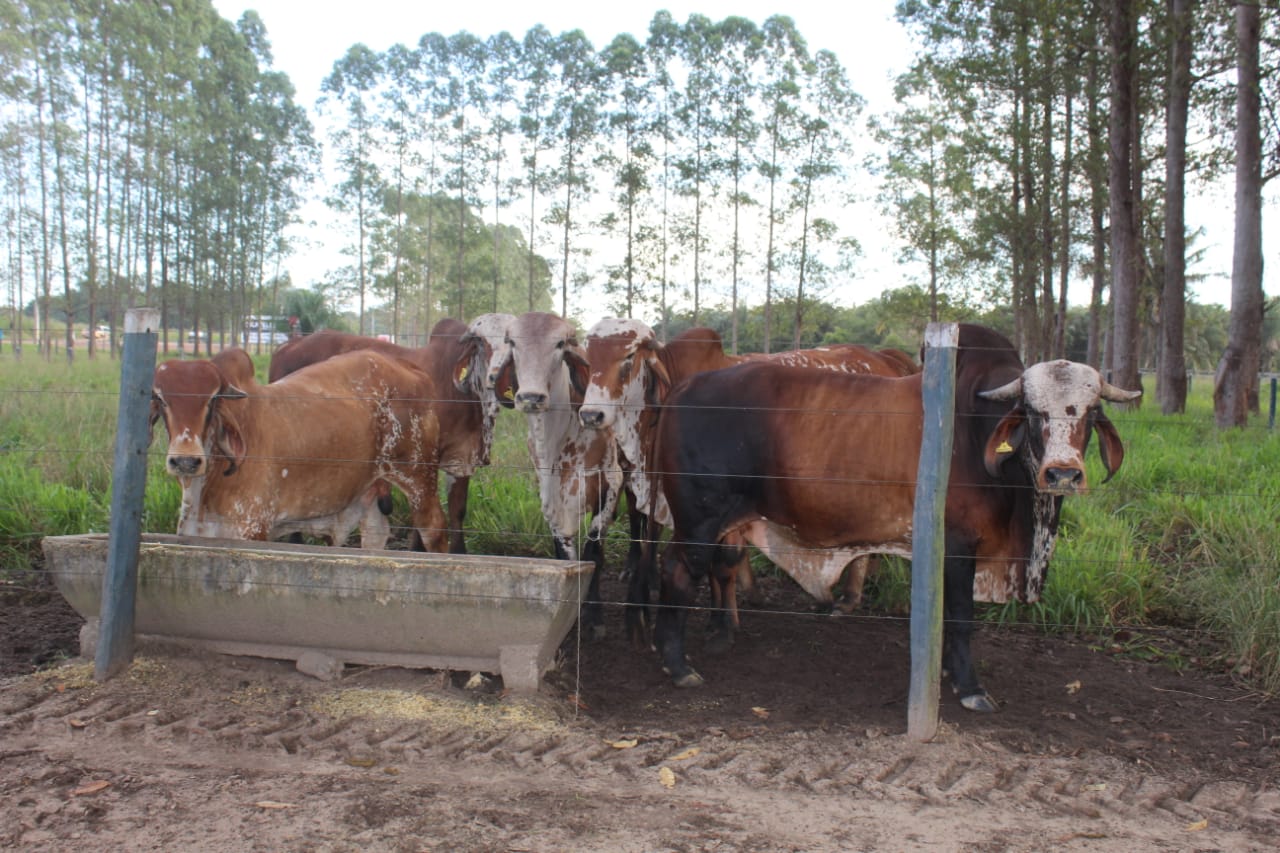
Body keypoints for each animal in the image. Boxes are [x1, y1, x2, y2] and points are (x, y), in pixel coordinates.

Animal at [151, 347, 449, 553]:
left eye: (212, 400)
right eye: (161, 399)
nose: (186, 461)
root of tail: (411, 367)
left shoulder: (252, 530)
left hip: (419, 480)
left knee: (435, 529)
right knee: (376, 533)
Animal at [267, 315, 513, 553]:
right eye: (481, 344)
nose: (493, 377)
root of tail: (290, 344)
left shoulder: (462, 459)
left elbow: (458, 509)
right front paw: (416, 549)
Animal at [482, 311, 624, 638]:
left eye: (560, 344)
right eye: (512, 341)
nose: (531, 397)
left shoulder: (610, 485)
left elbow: (593, 551)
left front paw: (595, 615)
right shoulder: (549, 498)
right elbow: (565, 554)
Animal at [577, 319, 919, 631]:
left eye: (628, 356)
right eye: (590, 358)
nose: (591, 415)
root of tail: (884, 357)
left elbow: (723, 560)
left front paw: (724, 618)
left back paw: (848, 598)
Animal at [648, 323, 1140, 711]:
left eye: (1092, 412)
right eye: (1034, 413)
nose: (1063, 474)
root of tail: (683, 389)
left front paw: (946, 672)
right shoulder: (959, 545)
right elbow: (960, 616)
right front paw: (970, 687)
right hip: (699, 520)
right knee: (677, 573)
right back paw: (677, 665)